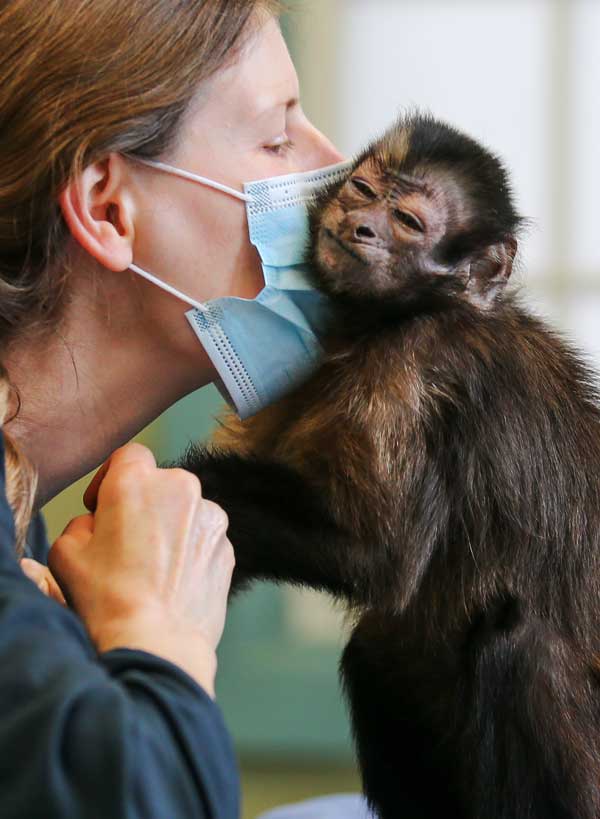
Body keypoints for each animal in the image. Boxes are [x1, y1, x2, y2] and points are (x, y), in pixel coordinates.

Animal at [180, 113, 600, 819]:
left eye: (406, 221)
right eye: (363, 190)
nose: (361, 227)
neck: (398, 317)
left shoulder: (414, 366)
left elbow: (378, 557)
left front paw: (190, 491)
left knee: (517, 641)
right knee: (379, 652)